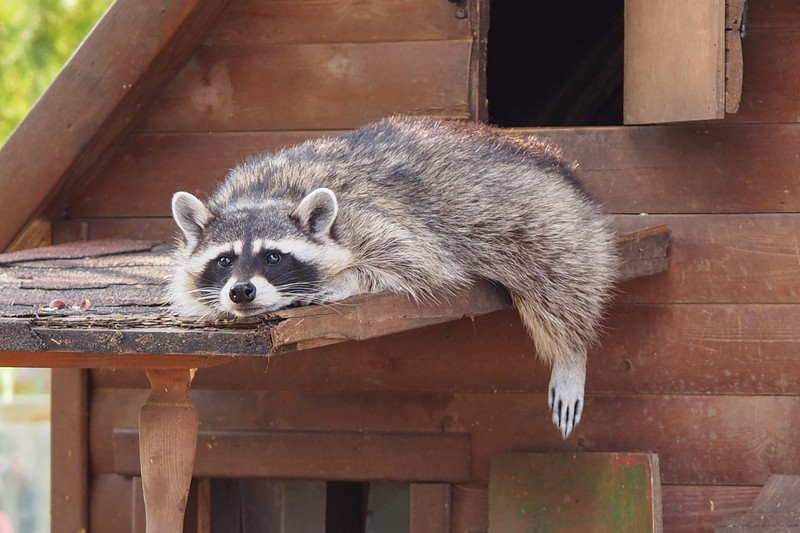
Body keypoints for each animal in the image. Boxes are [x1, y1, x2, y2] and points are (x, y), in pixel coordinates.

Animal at [169, 116, 620, 436]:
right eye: (225, 261)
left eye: (274, 257)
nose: (241, 292)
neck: (263, 194)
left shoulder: (379, 221)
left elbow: (414, 262)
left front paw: (338, 280)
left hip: (538, 213)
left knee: (560, 275)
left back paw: (571, 353)